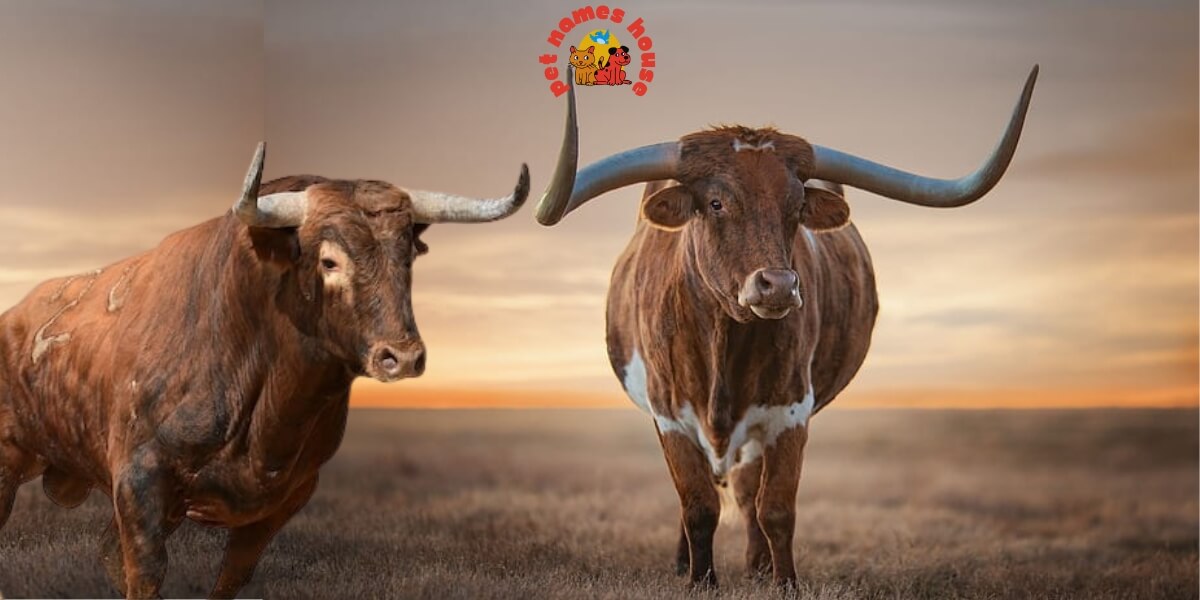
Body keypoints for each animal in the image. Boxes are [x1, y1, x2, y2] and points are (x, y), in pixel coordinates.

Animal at [0, 143, 530, 599]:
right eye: (329, 260)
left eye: (407, 258)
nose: (401, 357)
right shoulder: (139, 482)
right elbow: (145, 573)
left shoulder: (288, 495)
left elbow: (231, 576)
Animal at [535, 66, 1038, 588]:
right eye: (716, 202)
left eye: (796, 208)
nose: (777, 285)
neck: (722, 338)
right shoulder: (668, 412)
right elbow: (697, 505)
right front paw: (700, 580)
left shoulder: (789, 411)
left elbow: (775, 508)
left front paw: (783, 582)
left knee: (747, 493)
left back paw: (756, 567)